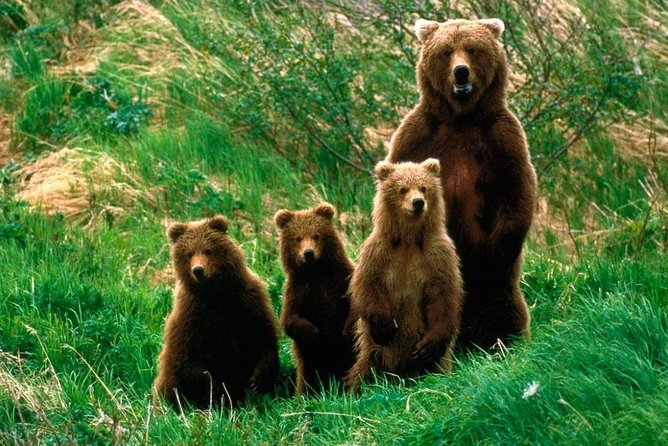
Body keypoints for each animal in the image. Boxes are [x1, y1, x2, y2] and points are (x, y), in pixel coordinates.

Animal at [153, 215, 279, 409]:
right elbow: (187, 357)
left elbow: (263, 336)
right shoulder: (191, 314)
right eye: (189, 253)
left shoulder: (248, 301)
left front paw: (258, 380)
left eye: (208, 250)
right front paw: (217, 390)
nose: (198, 270)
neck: (216, 294)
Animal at [274, 203, 356, 395]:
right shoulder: (298, 291)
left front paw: (346, 330)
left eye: (316, 235)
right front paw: (313, 332)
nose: (309, 253)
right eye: (298, 238)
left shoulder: (340, 280)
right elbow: (290, 319)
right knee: (308, 378)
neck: (316, 273)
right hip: (308, 364)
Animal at [346, 159, 463, 391]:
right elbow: (367, 285)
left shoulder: (438, 255)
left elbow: (443, 295)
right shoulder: (379, 252)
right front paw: (386, 326)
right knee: (363, 371)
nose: (418, 202)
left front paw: (428, 346)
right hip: (374, 353)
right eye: (402, 189)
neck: (408, 239)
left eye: (424, 187)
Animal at [387, 18, 538, 351]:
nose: (461, 72)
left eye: (472, 48)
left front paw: (496, 249)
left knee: (503, 305)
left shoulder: (502, 138)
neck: (461, 118)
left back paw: (502, 341)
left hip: (499, 289)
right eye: (446, 51)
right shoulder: (417, 136)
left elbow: (516, 189)